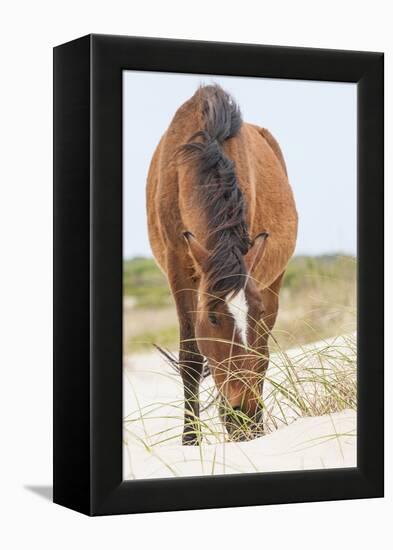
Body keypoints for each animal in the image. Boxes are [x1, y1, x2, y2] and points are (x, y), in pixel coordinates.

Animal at [147, 86, 298, 446]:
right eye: (213, 319)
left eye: (254, 313)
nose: (244, 414)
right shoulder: (178, 267)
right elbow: (190, 358)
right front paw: (190, 441)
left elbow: (258, 354)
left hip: (274, 279)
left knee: (264, 353)